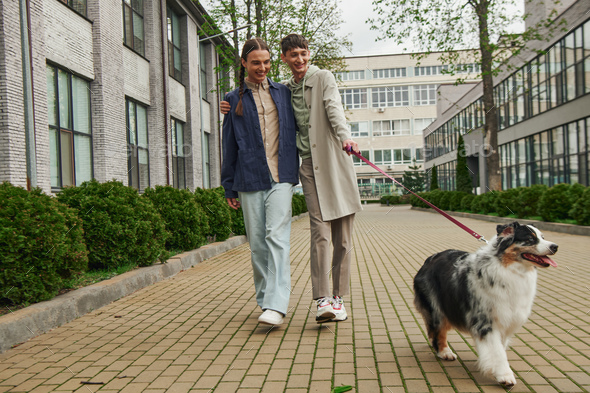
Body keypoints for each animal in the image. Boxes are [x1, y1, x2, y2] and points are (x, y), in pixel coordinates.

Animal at [416, 222, 560, 384]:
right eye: (530, 239)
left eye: (543, 237)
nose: (555, 246)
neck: (509, 269)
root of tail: (429, 259)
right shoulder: (485, 321)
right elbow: (497, 351)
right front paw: (505, 375)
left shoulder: (505, 319)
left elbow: (500, 347)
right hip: (437, 308)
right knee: (439, 331)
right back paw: (445, 352)